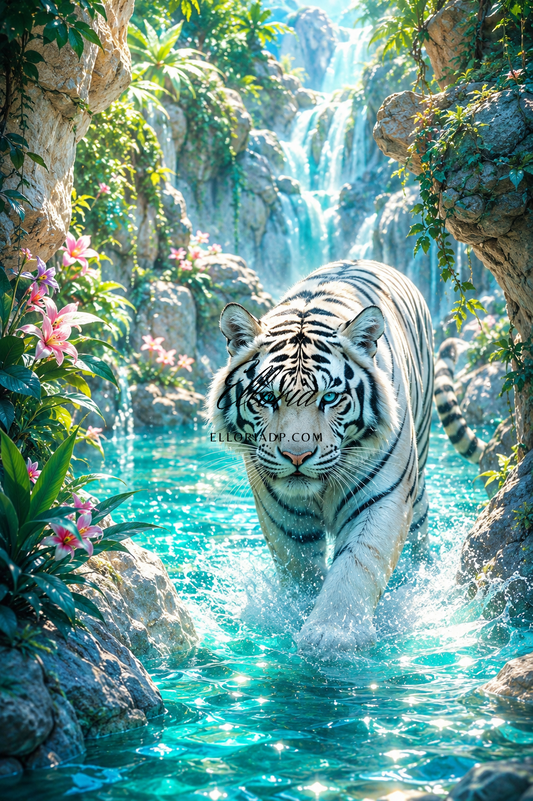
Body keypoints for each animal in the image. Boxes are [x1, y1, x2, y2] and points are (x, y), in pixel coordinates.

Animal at [207, 259, 479, 653]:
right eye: (268, 398)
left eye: (330, 398)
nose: (297, 455)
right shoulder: (283, 513)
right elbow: (302, 571)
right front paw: (298, 614)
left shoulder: (382, 496)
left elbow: (358, 564)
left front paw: (333, 636)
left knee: (417, 540)